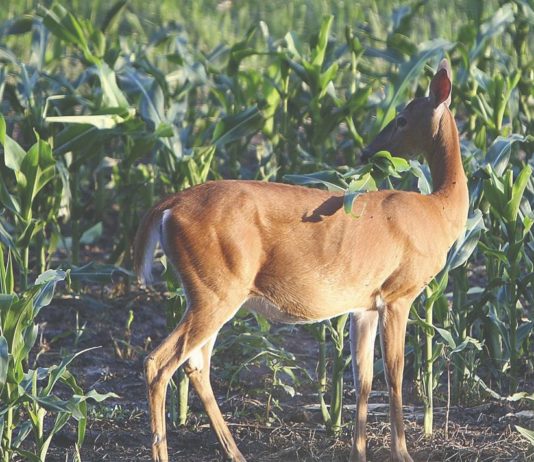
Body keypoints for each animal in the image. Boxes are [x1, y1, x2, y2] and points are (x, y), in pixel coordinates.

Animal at [134, 58, 468, 462]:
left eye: (402, 119)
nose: (367, 152)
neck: (439, 212)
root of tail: (167, 207)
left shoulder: (365, 303)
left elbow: (363, 378)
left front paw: (358, 453)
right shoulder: (398, 293)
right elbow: (394, 373)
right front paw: (402, 453)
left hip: (207, 290)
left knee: (196, 364)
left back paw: (236, 453)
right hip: (217, 288)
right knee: (159, 362)